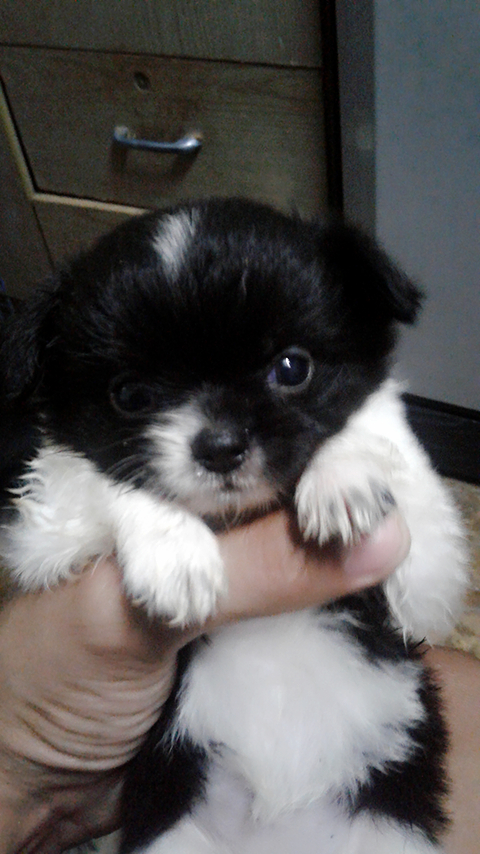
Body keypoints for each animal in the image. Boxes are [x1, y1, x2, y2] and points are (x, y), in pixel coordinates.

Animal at [0, 199, 468, 853]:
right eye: (131, 396)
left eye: (292, 368)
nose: (220, 447)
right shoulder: (44, 528)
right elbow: (105, 475)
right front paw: (176, 559)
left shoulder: (428, 586)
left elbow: (378, 428)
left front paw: (343, 475)